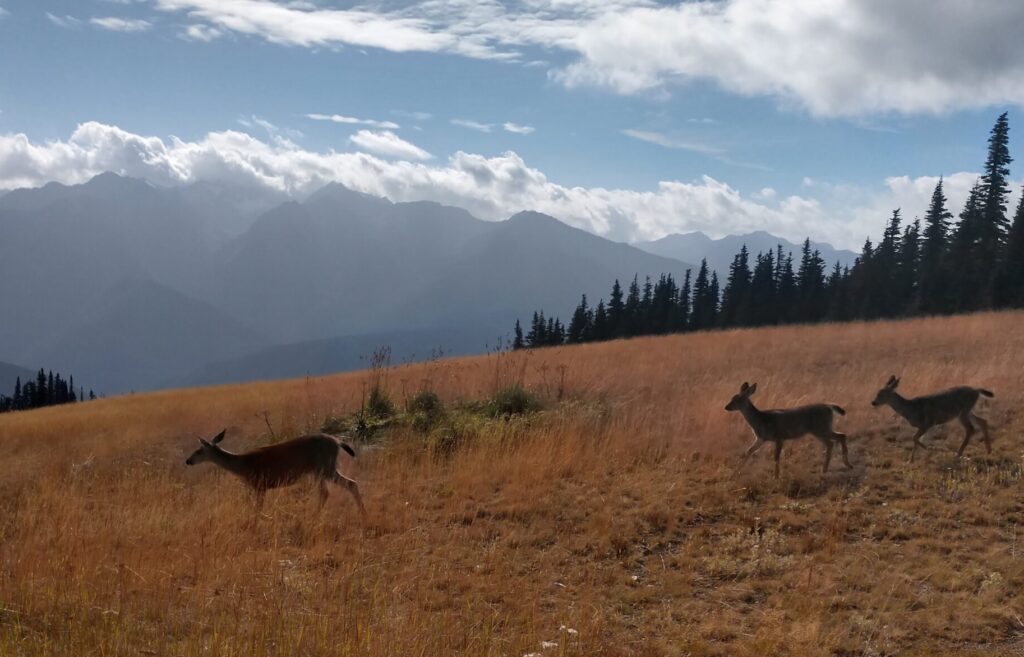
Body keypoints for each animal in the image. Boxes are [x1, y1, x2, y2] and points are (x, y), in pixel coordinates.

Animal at [185, 429, 366, 518]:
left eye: (199, 450)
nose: (188, 461)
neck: (241, 465)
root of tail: (337, 441)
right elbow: (252, 507)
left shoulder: (259, 484)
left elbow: (256, 508)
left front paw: (261, 521)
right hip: (319, 470)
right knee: (326, 492)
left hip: (325, 466)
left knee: (349, 483)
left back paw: (361, 512)